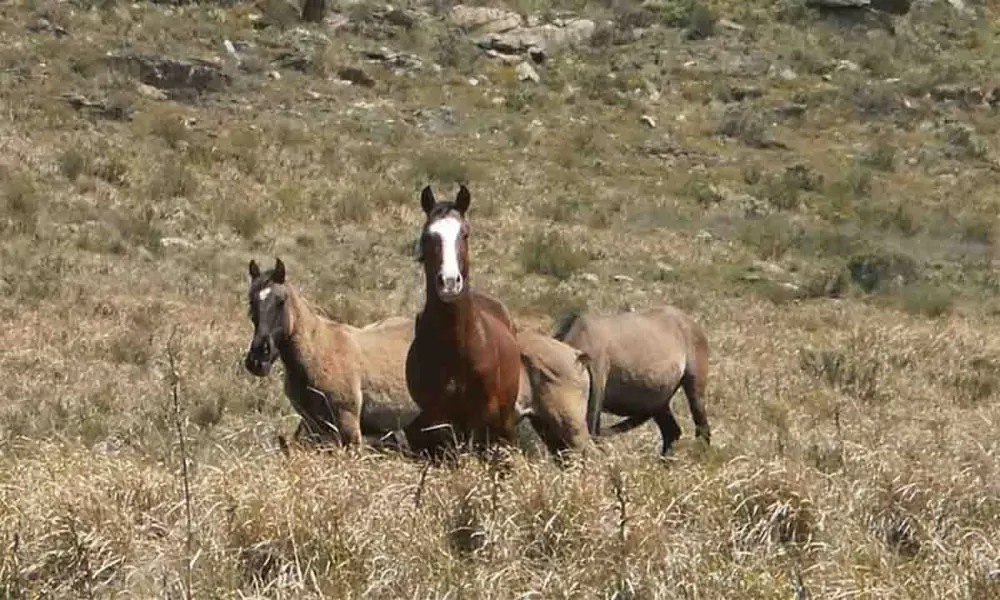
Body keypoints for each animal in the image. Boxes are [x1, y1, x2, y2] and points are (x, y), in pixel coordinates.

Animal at [243, 257, 419, 450]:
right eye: (251, 302)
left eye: (281, 301)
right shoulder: (314, 426)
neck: (317, 351)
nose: (258, 359)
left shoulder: (348, 423)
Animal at [404, 184, 523, 459]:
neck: (457, 347)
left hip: (504, 418)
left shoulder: (482, 415)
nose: (449, 282)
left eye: (465, 233)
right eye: (428, 236)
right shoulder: (437, 414)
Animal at [551, 305, 712, 455]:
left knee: (702, 430)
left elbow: (593, 434)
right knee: (672, 432)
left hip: (694, 388)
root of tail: (690, 321)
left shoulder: (594, 401)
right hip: (658, 399)